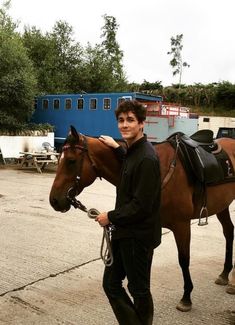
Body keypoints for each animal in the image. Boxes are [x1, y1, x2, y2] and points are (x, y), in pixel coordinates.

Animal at [50, 126, 235, 312]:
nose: (54, 200)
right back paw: (225, 274)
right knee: (229, 232)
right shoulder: (151, 230)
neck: (159, 170)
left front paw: (186, 298)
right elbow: (146, 264)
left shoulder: (182, 225)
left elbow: (183, 260)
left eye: (71, 161)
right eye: (59, 158)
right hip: (223, 206)